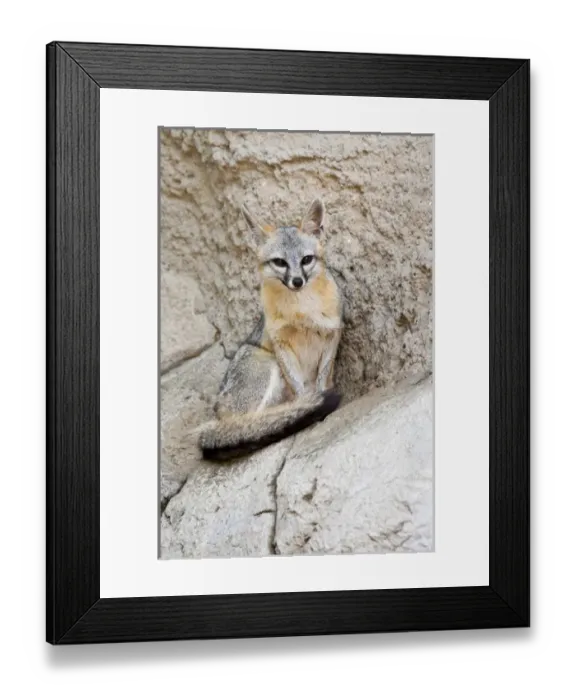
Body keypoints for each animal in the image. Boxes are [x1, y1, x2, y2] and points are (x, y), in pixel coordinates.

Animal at [198, 197, 343, 461]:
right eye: (280, 262)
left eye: (306, 259)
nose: (297, 281)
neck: (301, 311)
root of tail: (216, 412)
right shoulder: (281, 344)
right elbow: (300, 390)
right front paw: (309, 405)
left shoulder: (331, 334)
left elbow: (322, 378)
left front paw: (317, 400)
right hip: (267, 364)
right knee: (249, 424)